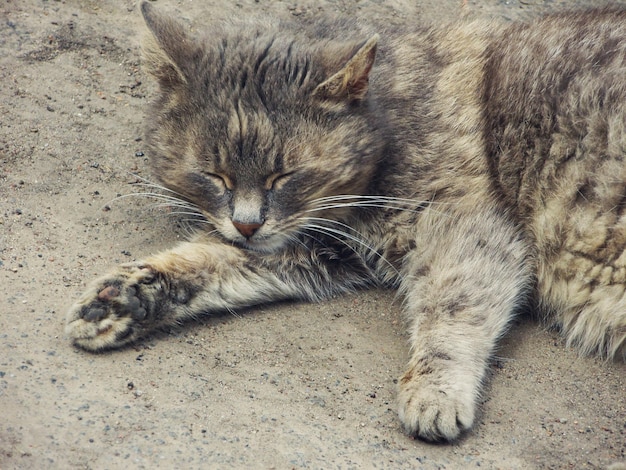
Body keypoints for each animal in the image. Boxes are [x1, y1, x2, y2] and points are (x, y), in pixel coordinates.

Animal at [64, 1, 624, 442]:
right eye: (213, 175)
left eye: (285, 175)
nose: (248, 224)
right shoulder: (314, 248)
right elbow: (209, 259)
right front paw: (124, 298)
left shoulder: (466, 226)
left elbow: (454, 306)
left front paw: (435, 387)